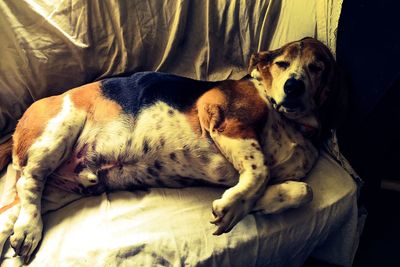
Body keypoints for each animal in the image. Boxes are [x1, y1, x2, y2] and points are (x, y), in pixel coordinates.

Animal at [0, 37, 340, 264]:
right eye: (282, 64)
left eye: (317, 67)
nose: (293, 87)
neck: (289, 122)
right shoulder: (223, 118)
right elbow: (259, 170)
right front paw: (234, 208)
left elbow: (302, 190)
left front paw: (252, 204)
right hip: (60, 130)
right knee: (29, 180)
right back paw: (30, 230)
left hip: (56, 190)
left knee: (17, 203)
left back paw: (21, 229)